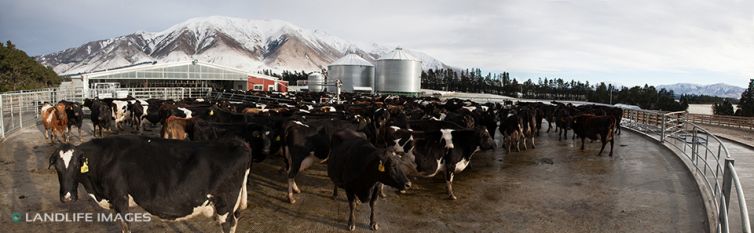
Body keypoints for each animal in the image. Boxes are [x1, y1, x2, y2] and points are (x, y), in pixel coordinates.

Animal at [49, 136, 253, 232]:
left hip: (224, 205)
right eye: (57, 167)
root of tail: (238, 143)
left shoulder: (120, 197)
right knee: (235, 221)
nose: (67, 197)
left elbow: (126, 226)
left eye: (76, 165)